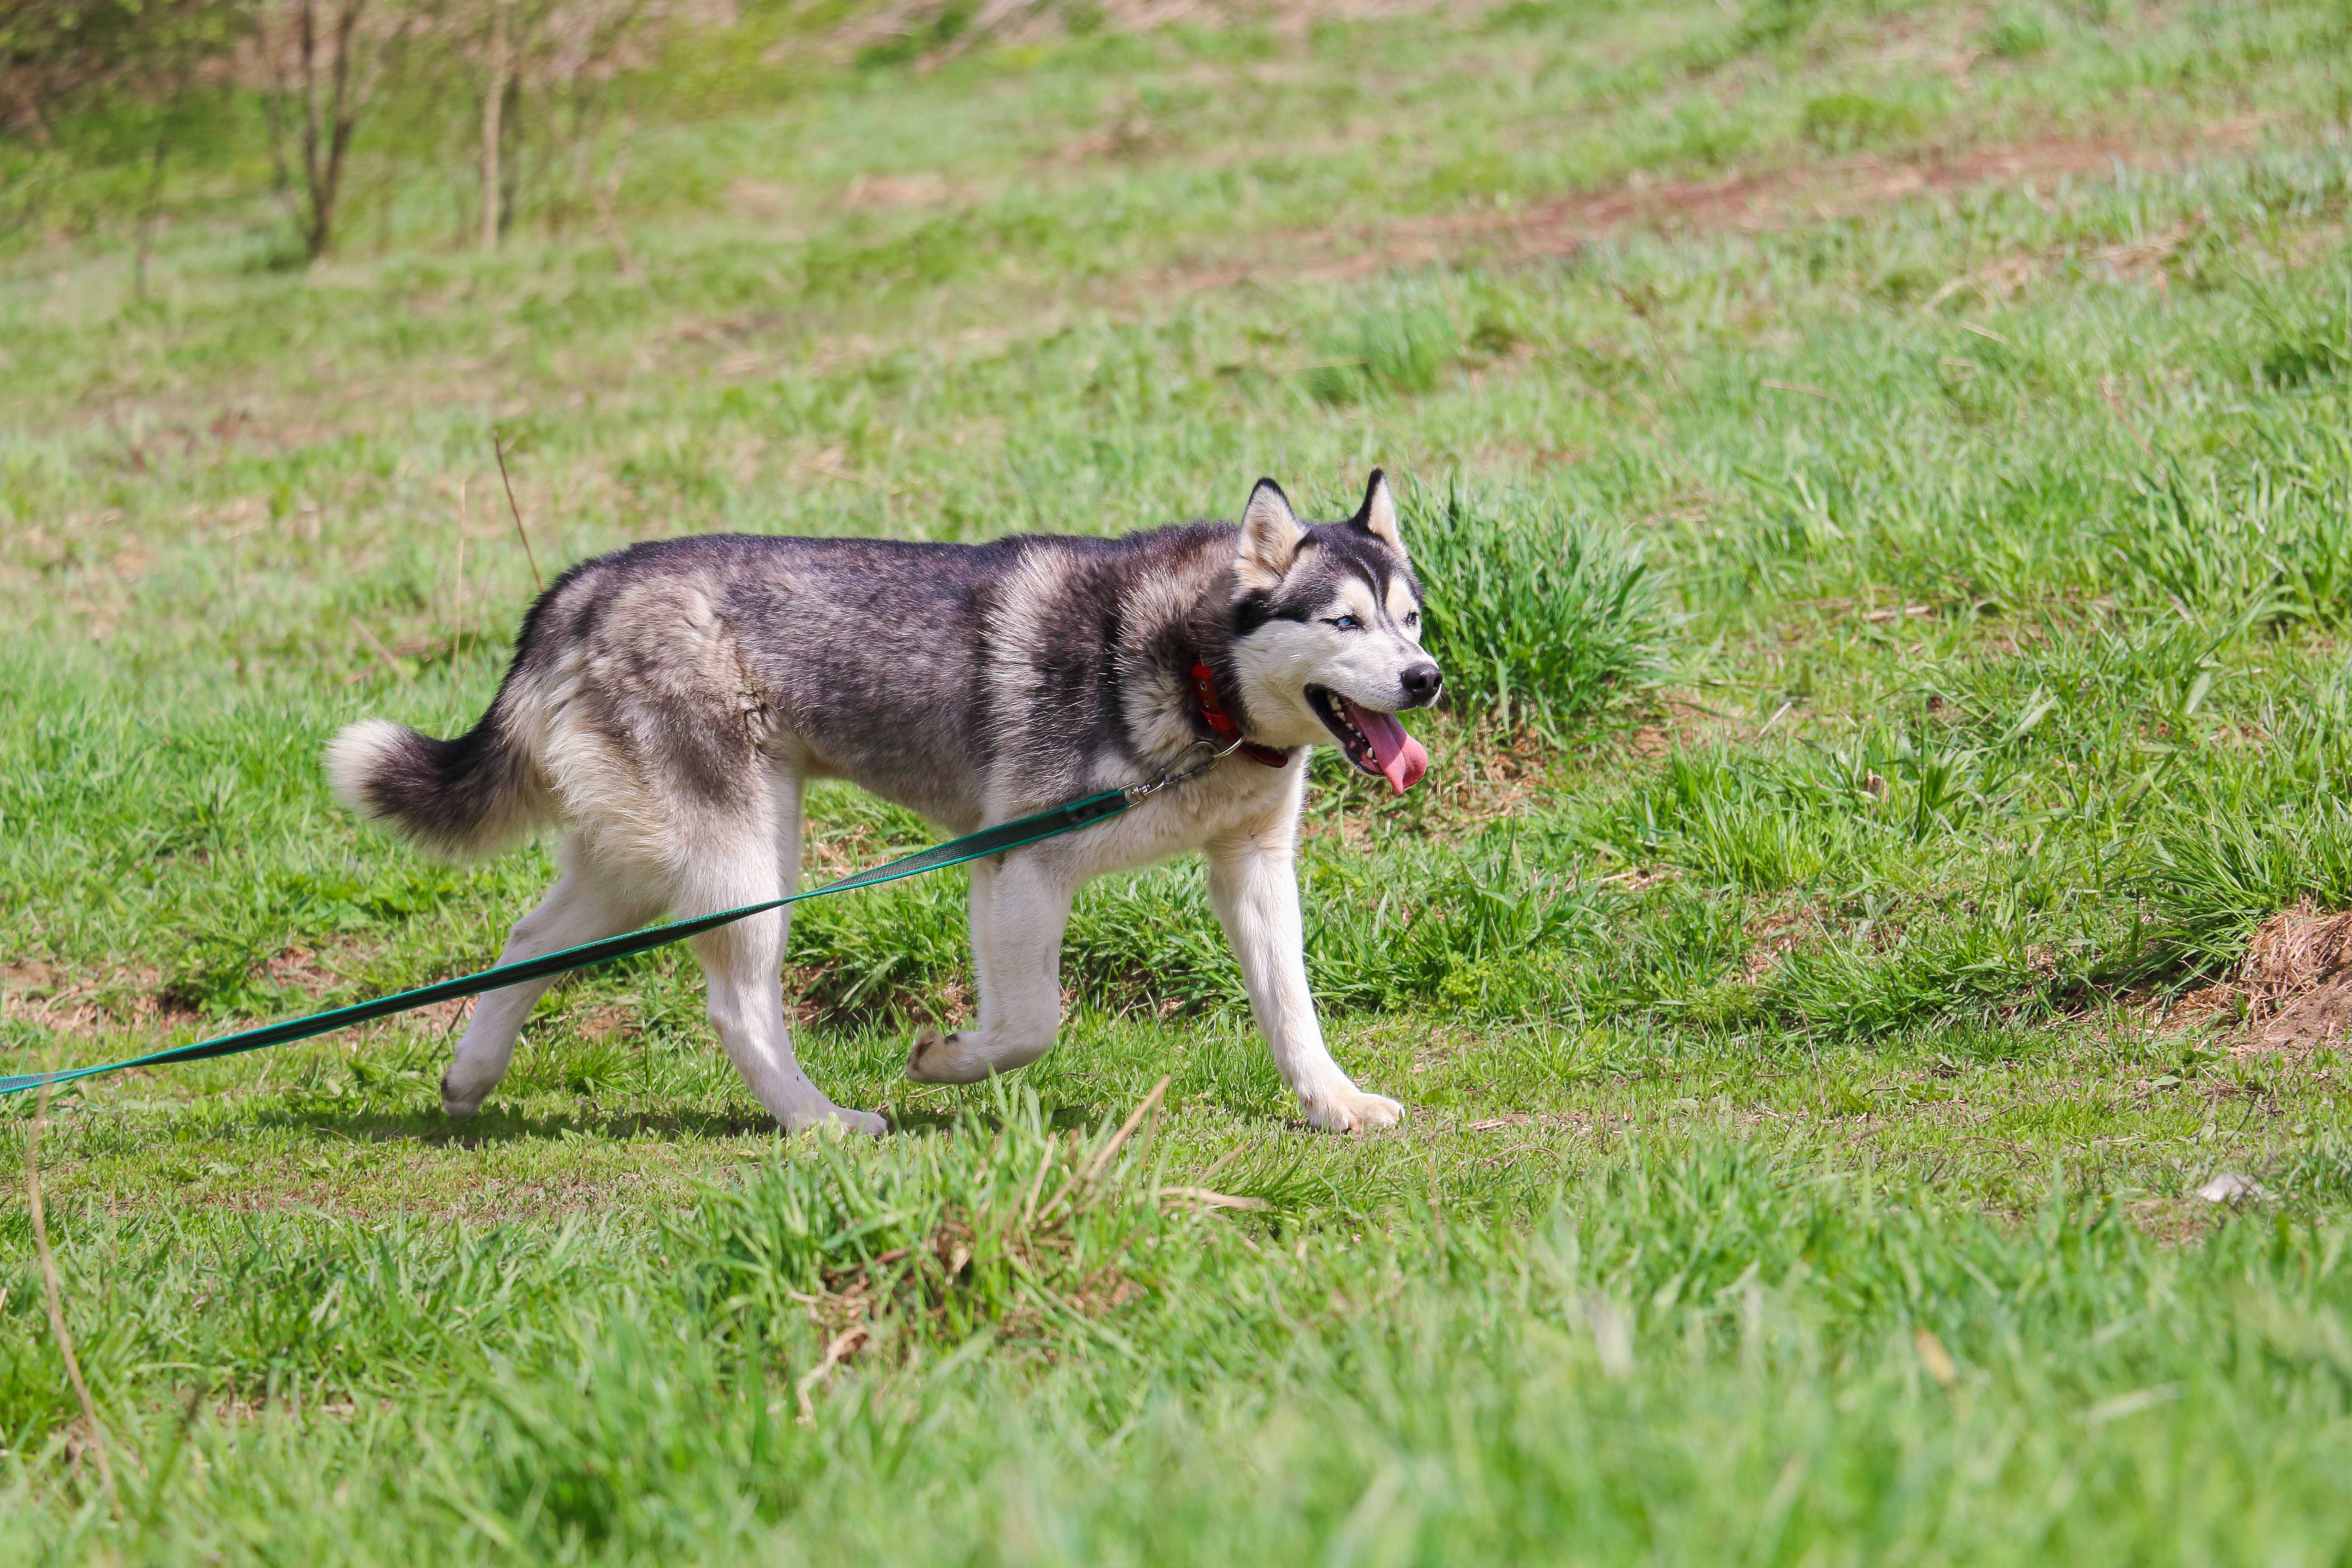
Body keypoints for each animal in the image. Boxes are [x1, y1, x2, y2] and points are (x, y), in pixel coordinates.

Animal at [329, 472, 1430, 1133]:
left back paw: (470, 1077)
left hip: (647, 859)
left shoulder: (1253, 865)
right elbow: (1029, 1026)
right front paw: (946, 1060)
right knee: (737, 1004)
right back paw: (818, 1121)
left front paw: (1334, 1103)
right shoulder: (1018, 867)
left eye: (1411, 617)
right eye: (1342, 621)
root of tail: (588, 582)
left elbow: (1290, 1005)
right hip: (744, 863)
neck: (1192, 670)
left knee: (528, 942)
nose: (1426, 680)